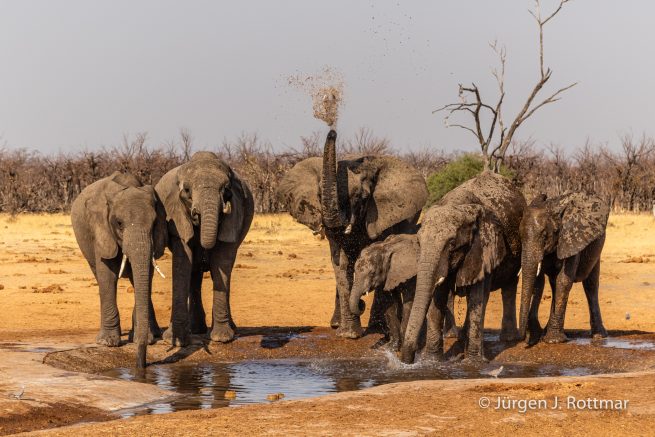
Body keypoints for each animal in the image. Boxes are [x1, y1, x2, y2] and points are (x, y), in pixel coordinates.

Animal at [71, 171, 168, 368]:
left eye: (155, 223)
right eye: (119, 223)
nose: (141, 366)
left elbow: (145, 275)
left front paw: (144, 338)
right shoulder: (100, 230)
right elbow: (107, 275)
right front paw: (107, 343)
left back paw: (154, 333)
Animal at [155, 151, 254, 346]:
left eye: (226, 189)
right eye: (186, 190)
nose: (196, 215)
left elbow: (221, 263)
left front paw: (222, 338)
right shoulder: (176, 214)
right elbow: (182, 264)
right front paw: (175, 341)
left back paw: (230, 329)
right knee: (194, 274)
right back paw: (196, 330)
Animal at [278, 129, 428, 338]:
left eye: (361, 197)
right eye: (318, 195)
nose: (332, 131)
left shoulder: (382, 216)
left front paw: (369, 330)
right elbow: (341, 262)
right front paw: (348, 335)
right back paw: (335, 324)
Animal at [401, 171, 525, 364]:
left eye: (452, 244)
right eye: (419, 243)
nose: (407, 359)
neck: (459, 205)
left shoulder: (484, 247)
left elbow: (477, 297)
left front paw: (474, 363)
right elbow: (438, 296)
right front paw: (431, 361)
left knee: (507, 286)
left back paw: (507, 339)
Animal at [518, 192, 610, 345]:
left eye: (545, 235)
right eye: (520, 237)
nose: (523, 339)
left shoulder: (572, 239)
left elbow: (564, 280)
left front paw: (553, 340)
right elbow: (539, 281)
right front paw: (540, 337)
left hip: (596, 248)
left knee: (590, 285)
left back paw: (599, 336)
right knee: (554, 284)